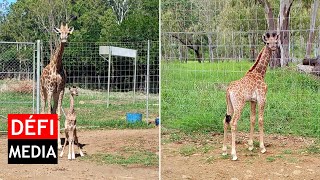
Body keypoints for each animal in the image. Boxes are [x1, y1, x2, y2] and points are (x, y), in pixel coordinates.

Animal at [221, 32, 278, 160]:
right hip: (239, 105)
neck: (260, 72)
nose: (273, 48)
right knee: (233, 123)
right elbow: (261, 120)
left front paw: (251, 146)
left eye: (276, 42)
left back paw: (224, 150)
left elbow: (252, 119)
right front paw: (262, 147)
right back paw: (234, 154)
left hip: (229, 105)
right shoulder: (262, 98)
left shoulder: (253, 101)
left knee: (225, 121)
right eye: (268, 43)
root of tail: (228, 89)